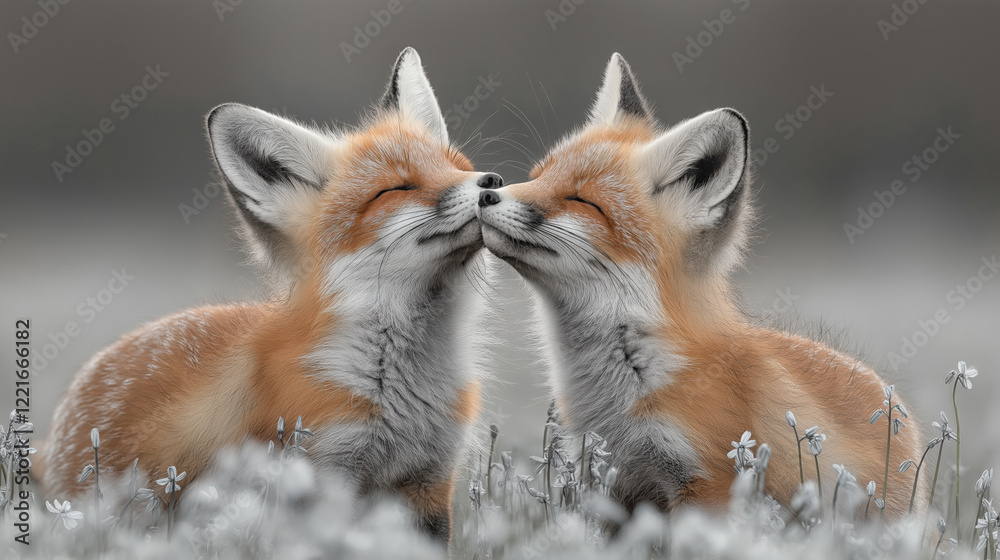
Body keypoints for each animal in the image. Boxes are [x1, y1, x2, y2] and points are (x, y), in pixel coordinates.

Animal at [41, 47, 502, 542]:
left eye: (458, 165)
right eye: (396, 189)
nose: (492, 181)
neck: (403, 386)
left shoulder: (430, 480)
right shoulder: (322, 472)